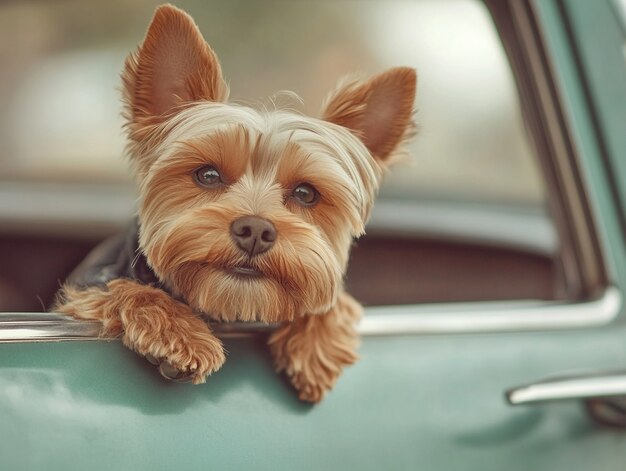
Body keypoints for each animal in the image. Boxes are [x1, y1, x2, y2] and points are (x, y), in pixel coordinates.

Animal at [52, 1, 414, 404]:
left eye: (306, 193)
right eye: (208, 175)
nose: (255, 229)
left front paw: (318, 343)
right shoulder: (83, 294)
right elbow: (121, 291)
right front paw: (178, 331)